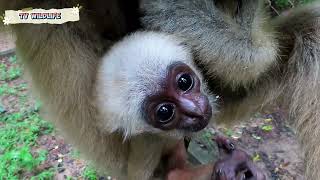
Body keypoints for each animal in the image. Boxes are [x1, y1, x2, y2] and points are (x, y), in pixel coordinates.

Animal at [0, 0, 264, 180]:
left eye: (184, 82)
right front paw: (230, 167)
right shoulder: (148, 144)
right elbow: (170, 174)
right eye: (165, 112)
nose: (195, 110)